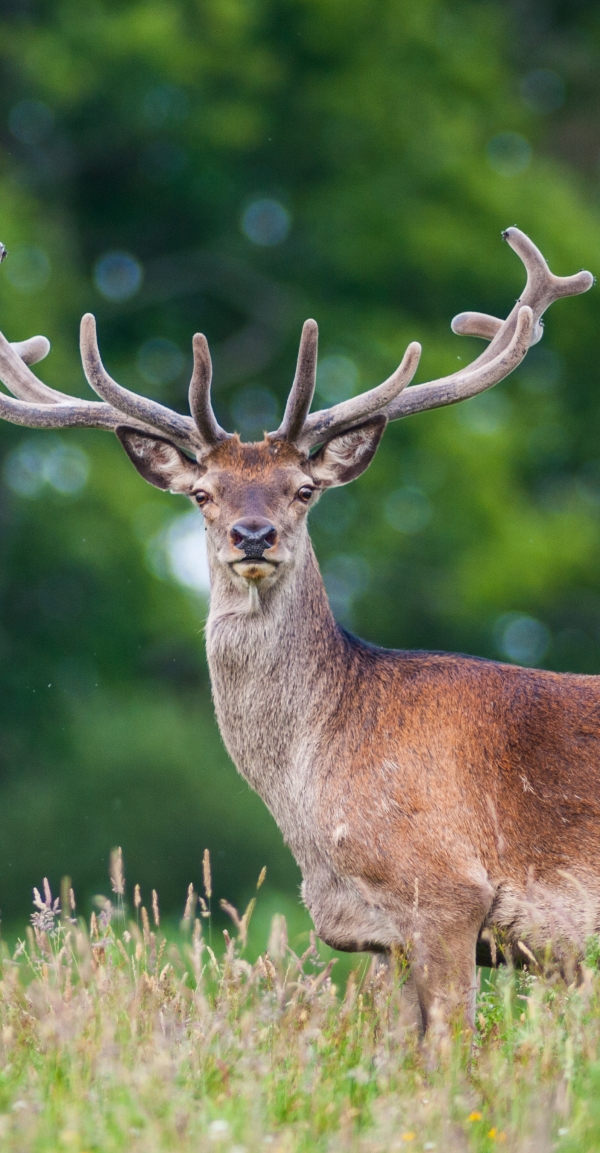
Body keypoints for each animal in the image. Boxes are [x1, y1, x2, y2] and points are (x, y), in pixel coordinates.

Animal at [0, 227, 595, 1031]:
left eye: (304, 489)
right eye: (202, 492)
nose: (253, 534)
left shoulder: (448, 891)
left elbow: (453, 1047)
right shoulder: (382, 936)